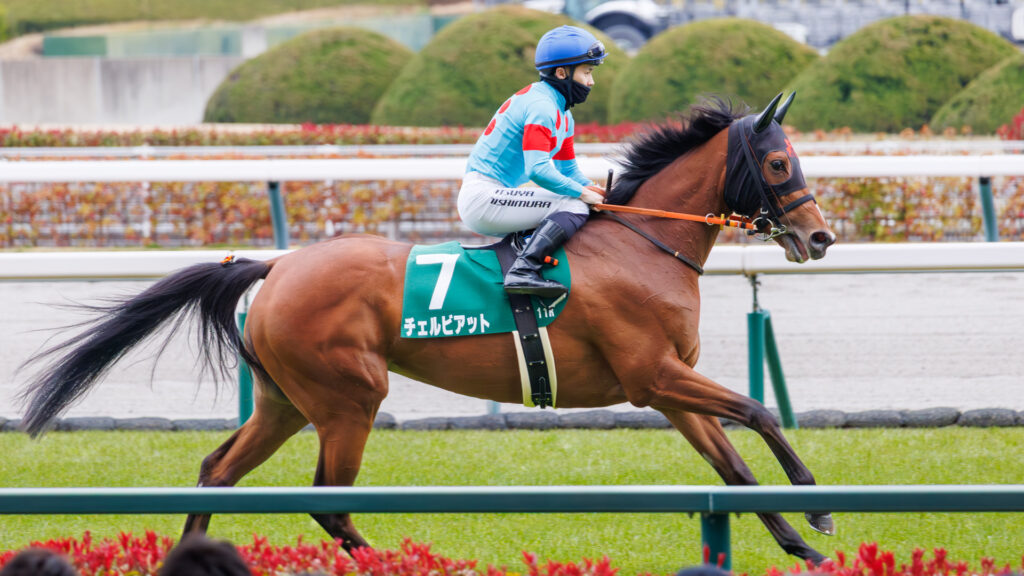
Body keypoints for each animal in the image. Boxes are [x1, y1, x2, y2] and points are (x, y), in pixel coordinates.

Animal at [19, 93, 838, 563]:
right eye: (777, 163)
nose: (820, 237)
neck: (642, 243)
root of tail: (275, 269)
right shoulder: (654, 374)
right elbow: (759, 411)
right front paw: (818, 504)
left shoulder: (666, 387)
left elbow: (731, 469)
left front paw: (799, 540)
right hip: (349, 398)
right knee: (329, 499)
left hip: (285, 402)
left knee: (217, 474)